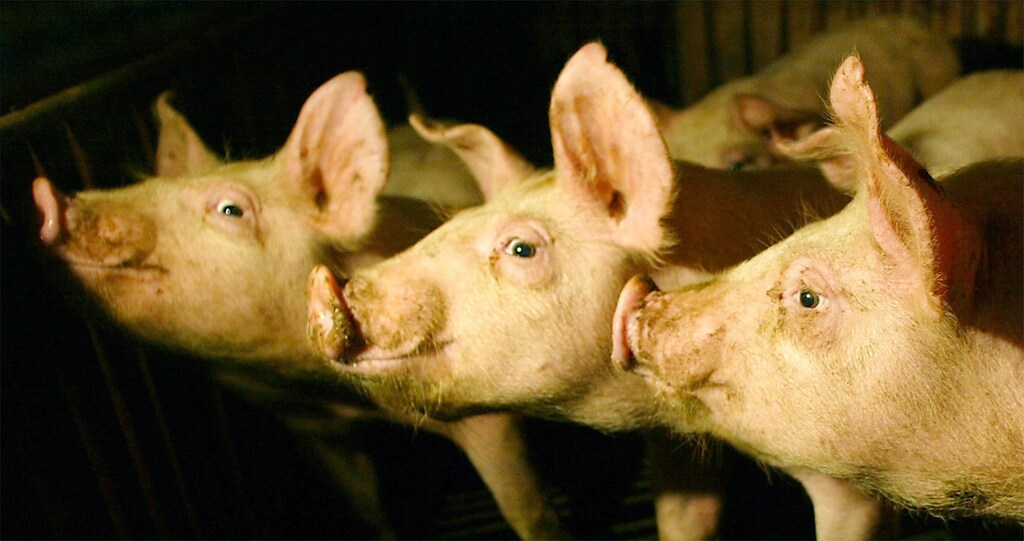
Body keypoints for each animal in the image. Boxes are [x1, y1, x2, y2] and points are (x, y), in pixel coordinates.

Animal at [32, 72, 567, 540]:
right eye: (146, 184)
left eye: (230, 209)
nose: (49, 196)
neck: (336, 394)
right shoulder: (312, 427)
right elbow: (368, 511)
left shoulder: (486, 416)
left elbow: (527, 510)